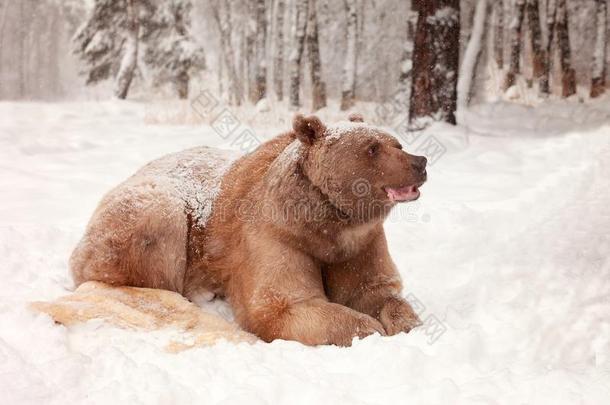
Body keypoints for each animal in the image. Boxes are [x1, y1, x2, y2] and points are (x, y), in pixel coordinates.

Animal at [69, 113, 426, 344]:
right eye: (372, 148)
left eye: (396, 143)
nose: (419, 161)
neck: (325, 226)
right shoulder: (276, 236)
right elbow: (283, 305)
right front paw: (368, 328)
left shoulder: (361, 243)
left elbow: (375, 290)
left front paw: (406, 323)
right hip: (153, 208)